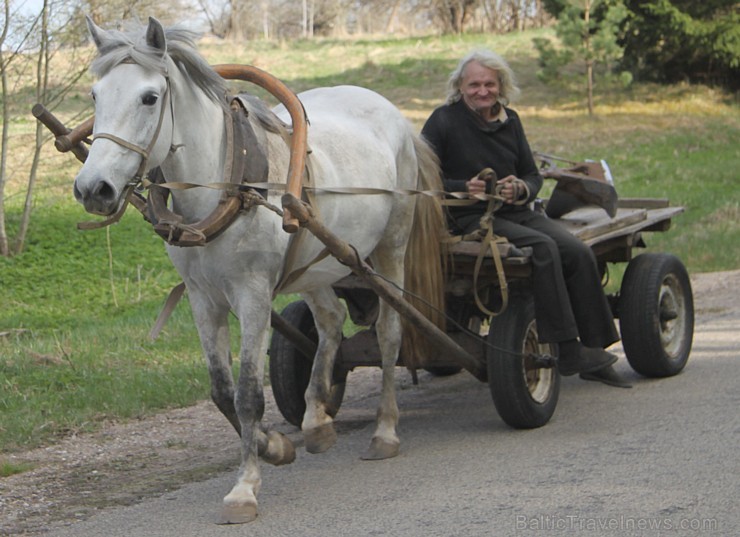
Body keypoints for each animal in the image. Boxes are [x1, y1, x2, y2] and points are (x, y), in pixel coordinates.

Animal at [73, 17, 446, 524]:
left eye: (149, 97)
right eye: (95, 96)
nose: (94, 188)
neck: (225, 185)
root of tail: (393, 114)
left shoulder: (252, 295)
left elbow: (248, 391)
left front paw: (244, 488)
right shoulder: (202, 298)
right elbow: (220, 390)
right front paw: (274, 446)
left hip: (391, 247)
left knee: (390, 333)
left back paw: (384, 431)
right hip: (317, 262)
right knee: (330, 321)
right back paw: (316, 420)